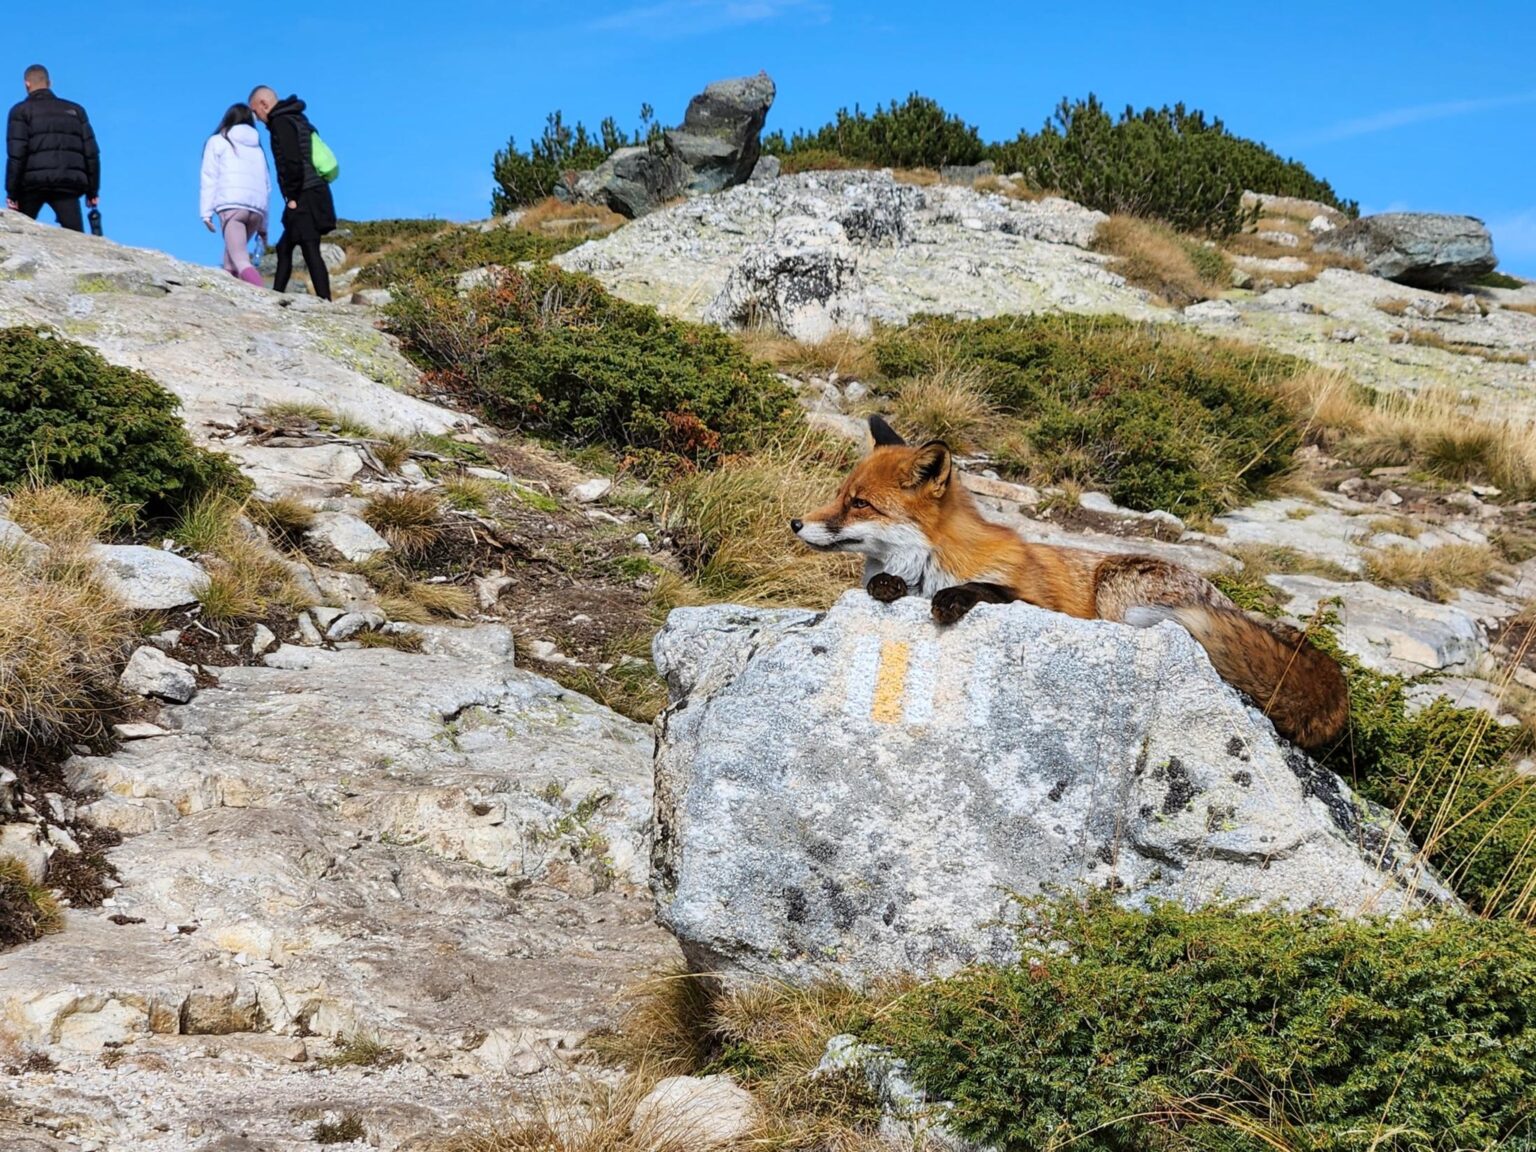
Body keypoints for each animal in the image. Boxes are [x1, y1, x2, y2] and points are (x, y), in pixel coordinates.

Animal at [790, 415, 1349, 752]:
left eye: (859, 504)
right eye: (840, 495)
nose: (795, 523)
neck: (928, 565)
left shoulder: (1040, 601)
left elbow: (990, 590)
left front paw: (951, 598)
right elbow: (884, 585)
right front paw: (887, 586)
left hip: (1119, 589)